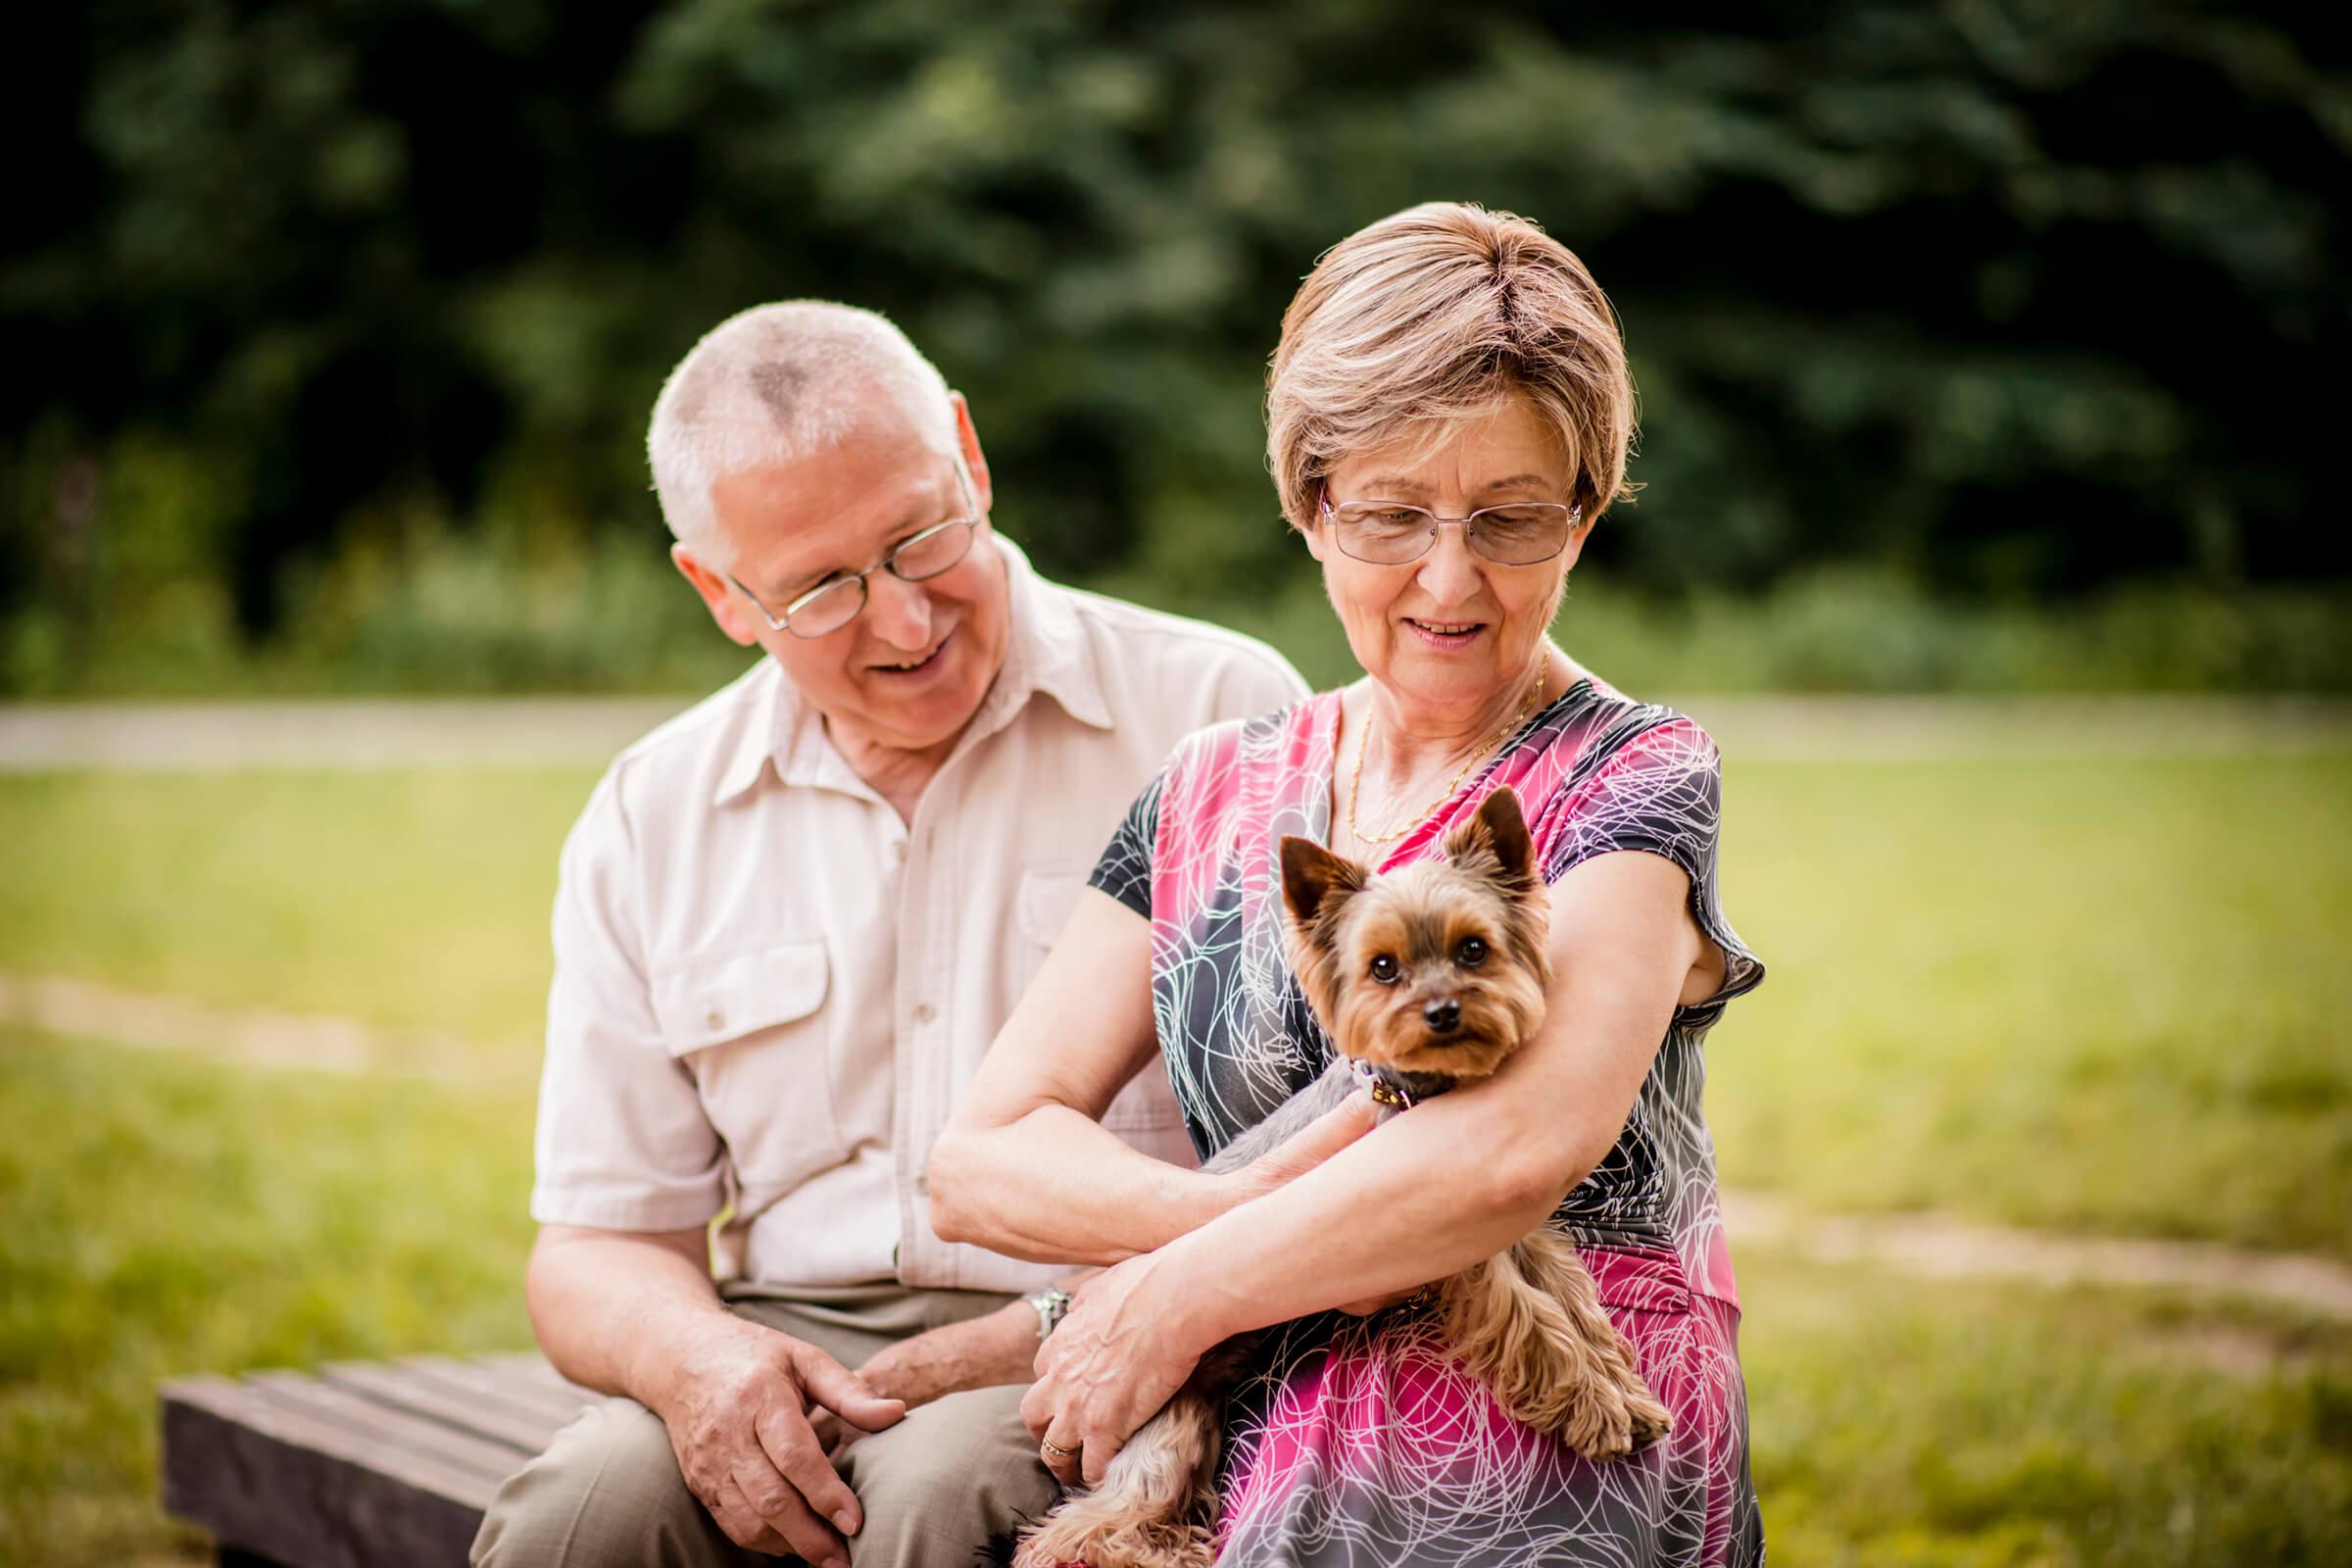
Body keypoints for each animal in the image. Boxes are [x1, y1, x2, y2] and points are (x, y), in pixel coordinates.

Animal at [1015, 789, 1674, 1568]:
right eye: (1383, 967)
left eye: (1473, 948)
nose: (1442, 1012)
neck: (1423, 1091)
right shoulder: (1452, 1249)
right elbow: (1536, 1321)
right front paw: (1596, 1409)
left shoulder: (1517, 1229)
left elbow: (1572, 1303)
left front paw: (1625, 1393)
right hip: (1159, 1428)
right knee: (1084, 1526)